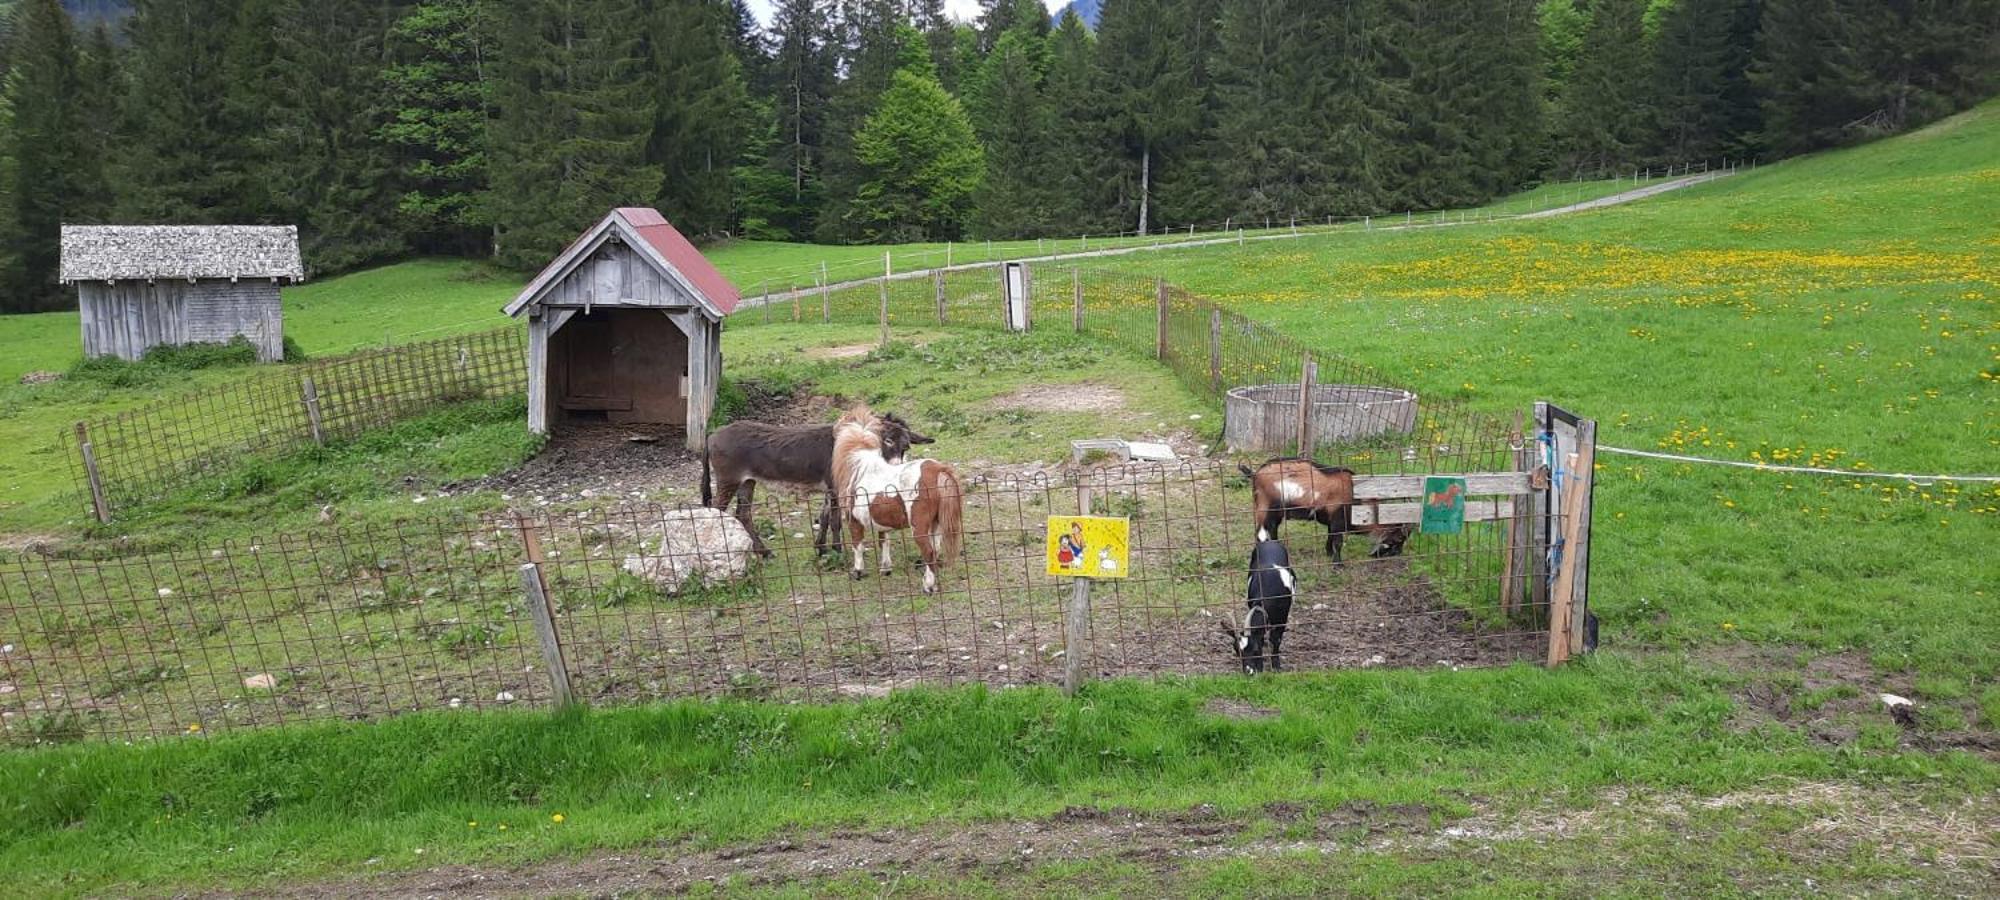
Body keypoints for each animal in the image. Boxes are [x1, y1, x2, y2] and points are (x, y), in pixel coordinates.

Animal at [832, 406, 964, 592]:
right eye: (888, 440)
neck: (860, 466)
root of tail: (939, 470)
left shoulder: (853, 520)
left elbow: (857, 544)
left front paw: (858, 572)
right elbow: (884, 540)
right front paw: (886, 568)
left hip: (919, 525)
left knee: (929, 551)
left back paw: (928, 586)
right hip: (936, 522)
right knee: (935, 549)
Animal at [1216, 536, 1296, 672]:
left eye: (1255, 650)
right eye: (1237, 650)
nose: (1249, 671)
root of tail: (1268, 541)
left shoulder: (1282, 617)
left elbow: (1276, 640)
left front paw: (1276, 666)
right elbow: (1261, 636)